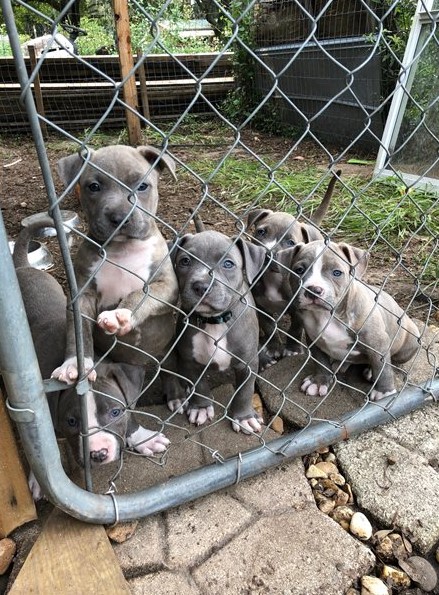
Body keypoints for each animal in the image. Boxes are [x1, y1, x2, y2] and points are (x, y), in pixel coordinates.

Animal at [12, 217, 170, 500]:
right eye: (72, 422)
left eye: (115, 412)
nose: (98, 453)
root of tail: (21, 267)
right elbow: (43, 452)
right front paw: (40, 481)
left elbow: (130, 414)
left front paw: (142, 438)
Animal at [52, 144, 180, 386]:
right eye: (94, 187)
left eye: (142, 186)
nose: (120, 217)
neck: (123, 250)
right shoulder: (82, 295)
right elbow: (78, 332)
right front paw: (73, 364)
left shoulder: (167, 285)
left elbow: (141, 294)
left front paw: (120, 315)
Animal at [246, 170, 342, 370]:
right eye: (261, 232)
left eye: (290, 242)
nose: (268, 254)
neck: (273, 279)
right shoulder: (261, 306)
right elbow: (269, 327)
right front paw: (274, 348)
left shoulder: (299, 307)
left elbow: (296, 328)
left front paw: (292, 349)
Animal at [276, 240, 422, 402]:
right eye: (299, 270)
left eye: (337, 273)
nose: (313, 290)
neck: (327, 315)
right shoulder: (314, 340)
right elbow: (320, 362)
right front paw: (319, 381)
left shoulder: (377, 342)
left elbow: (382, 368)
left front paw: (384, 392)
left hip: (410, 341)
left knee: (392, 361)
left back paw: (370, 371)